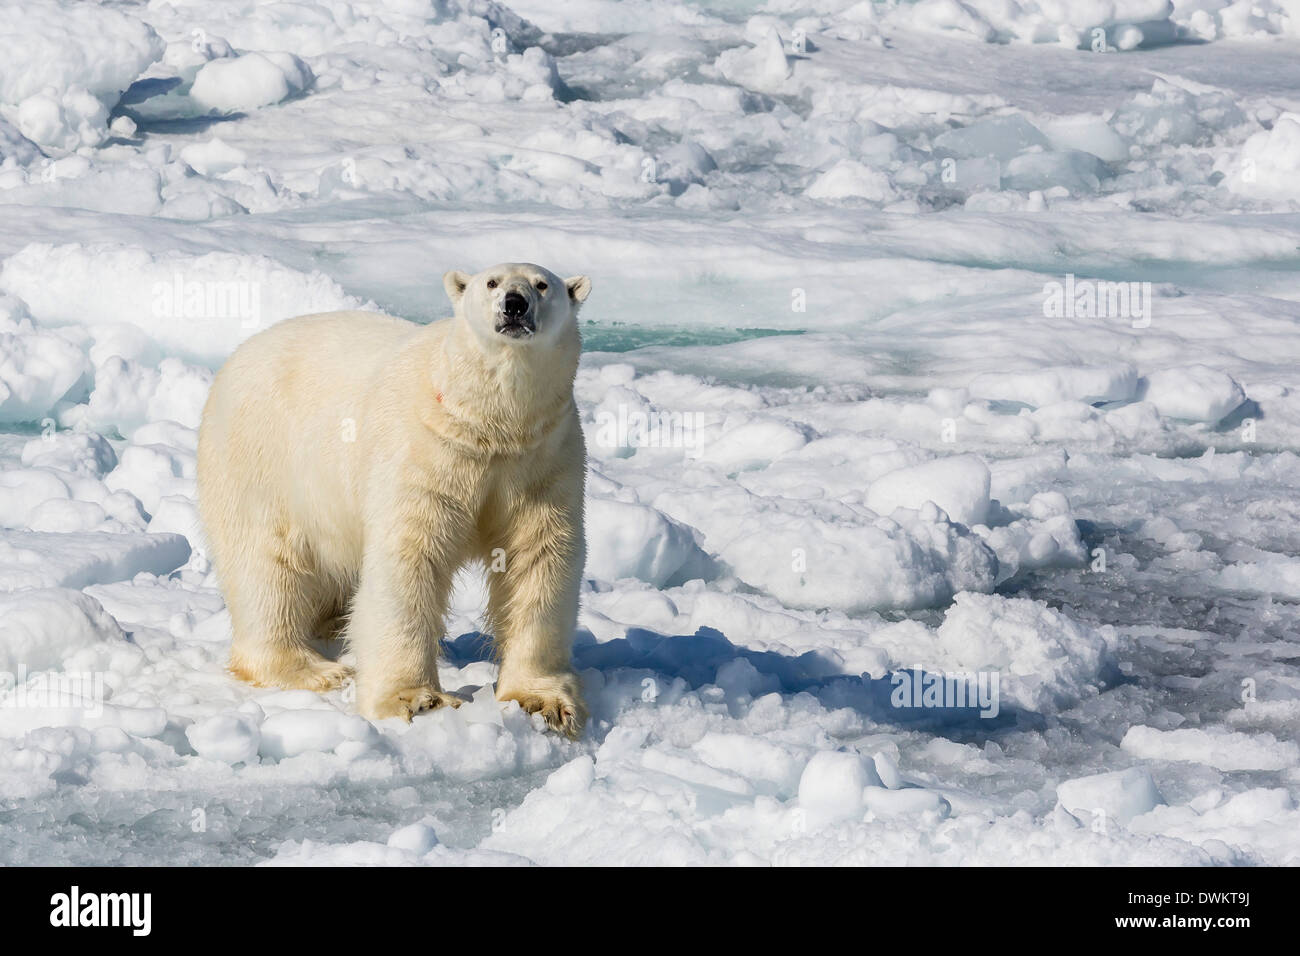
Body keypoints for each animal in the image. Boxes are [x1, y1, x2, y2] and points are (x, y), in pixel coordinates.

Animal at [195, 265, 592, 738]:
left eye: (542, 284)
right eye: (492, 282)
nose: (514, 304)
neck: (490, 426)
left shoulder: (543, 459)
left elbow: (540, 558)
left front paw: (542, 702)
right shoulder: (425, 454)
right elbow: (408, 557)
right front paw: (416, 700)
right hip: (261, 458)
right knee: (265, 564)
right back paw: (313, 668)